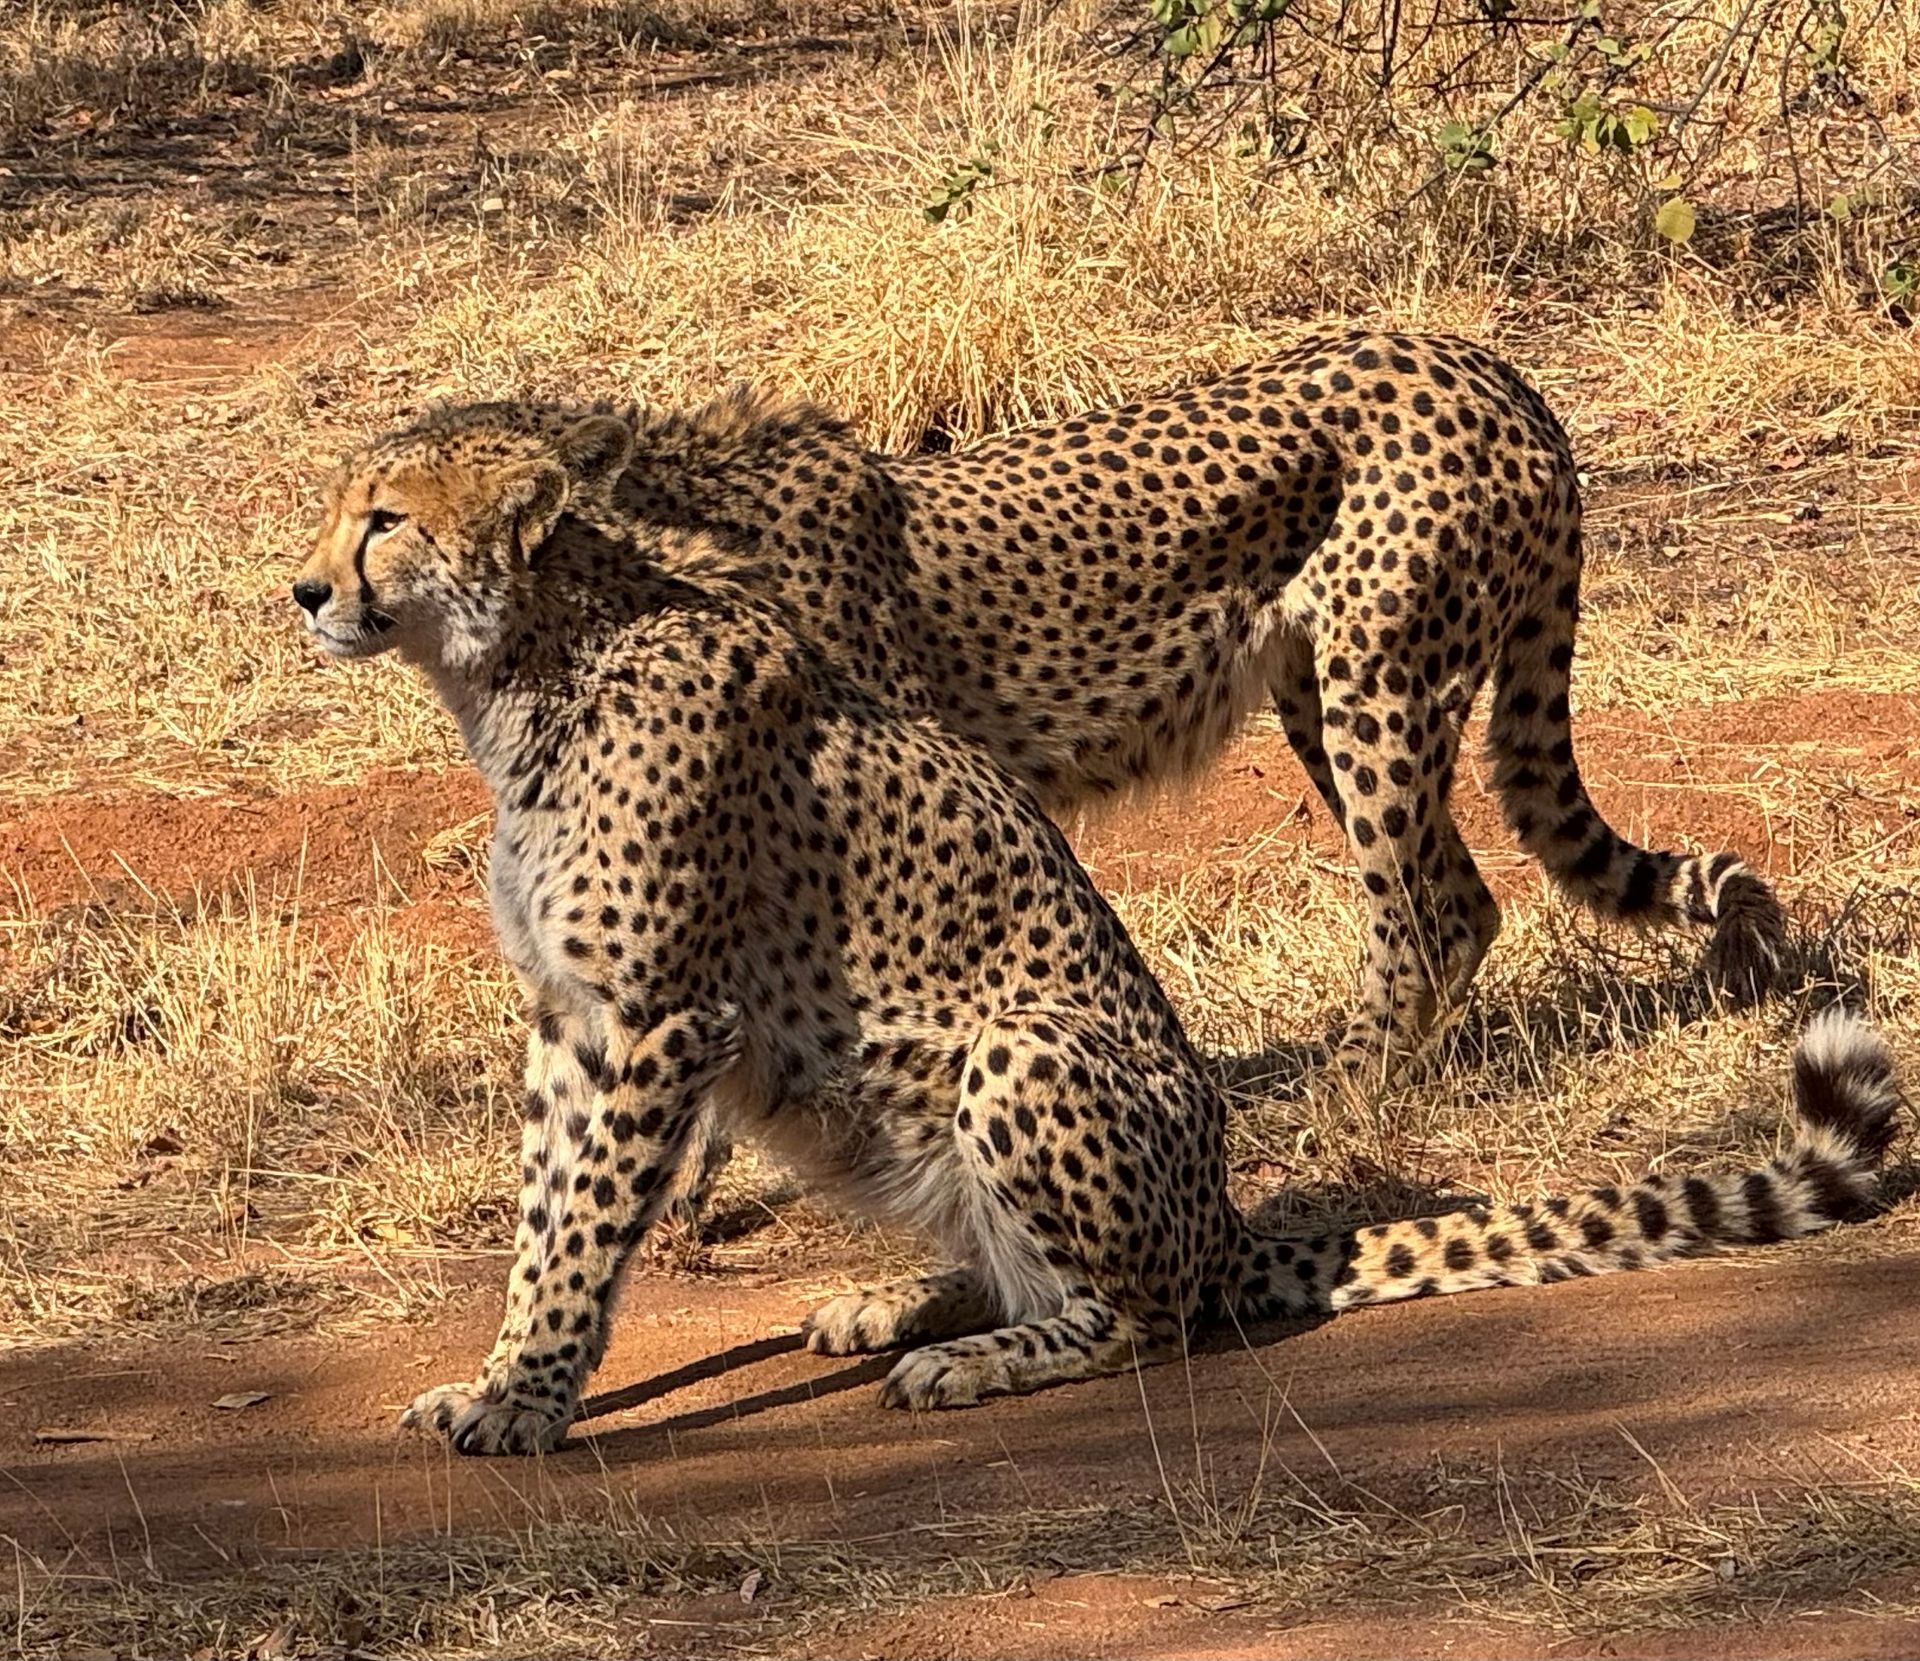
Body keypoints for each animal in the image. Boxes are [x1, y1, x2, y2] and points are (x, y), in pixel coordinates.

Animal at [290, 401, 1898, 1457]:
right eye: (337, 509)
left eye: (386, 517)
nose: (303, 589)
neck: (529, 662)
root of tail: (1228, 1222)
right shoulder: (574, 1020)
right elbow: (542, 1216)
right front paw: (503, 1376)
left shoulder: (655, 1016)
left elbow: (582, 1225)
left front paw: (527, 1401)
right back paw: (900, 1301)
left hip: (1034, 1034)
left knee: (1141, 1311)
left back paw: (972, 1359)